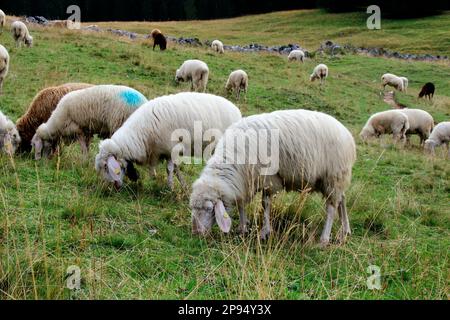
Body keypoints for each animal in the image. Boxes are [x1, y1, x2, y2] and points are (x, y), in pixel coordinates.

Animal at [95, 91, 243, 189]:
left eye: (106, 166)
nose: (112, 187)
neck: (142, 134)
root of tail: (237, 110)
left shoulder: (171, 147)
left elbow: (170, 169)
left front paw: (170, 188)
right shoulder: (163, 151)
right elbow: (176, 169)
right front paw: (183, 186)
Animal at [189, 109, 356, 246]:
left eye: (209, 209)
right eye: (193, 207)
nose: (196, 233)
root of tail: (347, 134)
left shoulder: (268, 179)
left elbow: (265, 204)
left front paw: (265, 232)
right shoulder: (245, 181)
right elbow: (242, 204)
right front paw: (243, 228)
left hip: (333, 176)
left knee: (331, 208)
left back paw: (324, 238)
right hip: (335, 179)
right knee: (342, 199)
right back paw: (345, 230)